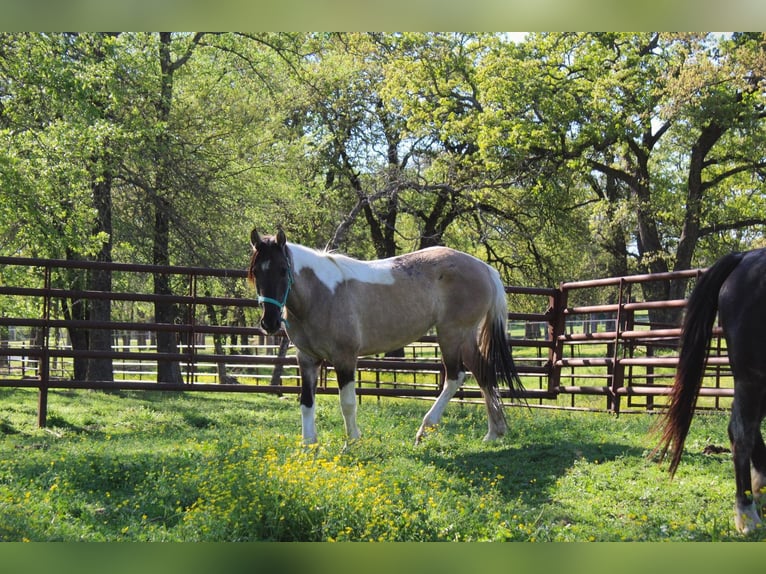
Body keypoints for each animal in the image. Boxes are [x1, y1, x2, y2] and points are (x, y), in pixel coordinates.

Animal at [249, 227, 524, 448]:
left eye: (283, 270)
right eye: (255, 272)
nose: (269, 322)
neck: (321, 294)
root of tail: (485, 268)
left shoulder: (345, 358)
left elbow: (347, 403)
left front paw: (352, 443)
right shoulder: (306, 359)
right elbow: (306, 402)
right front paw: (308, 446)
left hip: (451, 334)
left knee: (456, 377)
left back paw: (424, 431)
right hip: (465, 337)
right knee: (483, 372)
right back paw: (494, 433)